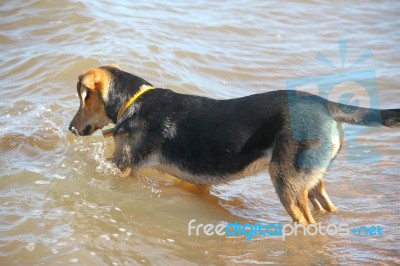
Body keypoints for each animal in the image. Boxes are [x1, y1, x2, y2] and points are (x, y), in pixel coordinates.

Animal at [69, 64, 400, 224]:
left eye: (84, 99)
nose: (71, 129)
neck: (133, 102)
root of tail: (325, 105)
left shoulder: (122, 169)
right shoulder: (195, 182)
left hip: (287, 184)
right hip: (311, 180)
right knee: (327, 207)